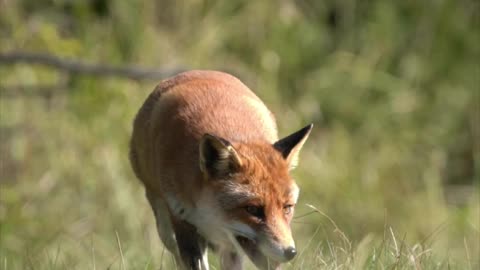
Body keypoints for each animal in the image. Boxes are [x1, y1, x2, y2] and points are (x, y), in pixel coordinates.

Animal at [129, 70, 314, 270]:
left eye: (287, 207)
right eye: (252, 209)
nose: (290, 252)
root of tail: (194, 71)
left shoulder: (232, 248)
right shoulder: (183, 225)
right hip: (165, 227)